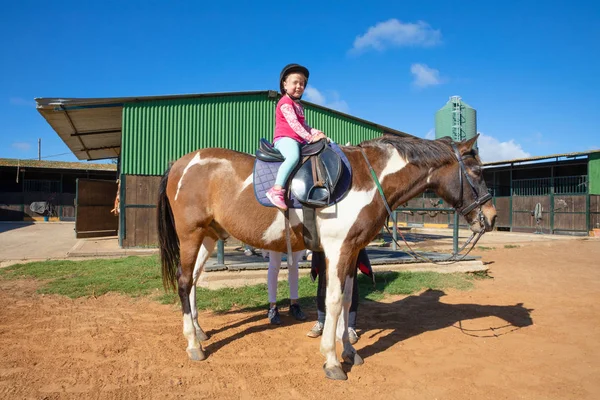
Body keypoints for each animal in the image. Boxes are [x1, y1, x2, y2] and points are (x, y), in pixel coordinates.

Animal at [158, 133, 496, 380]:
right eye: (477, 171)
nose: (491, 218)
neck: (367, 179)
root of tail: (180, 163)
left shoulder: (353, 250)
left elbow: (346, 301)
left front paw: (349, 352)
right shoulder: (338, 249)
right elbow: (333, 302)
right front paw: (332, 361)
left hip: (208, 236)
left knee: (194, 281)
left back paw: (200, 332)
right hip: (190, 235)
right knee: (184, 281)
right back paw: (193, 345)